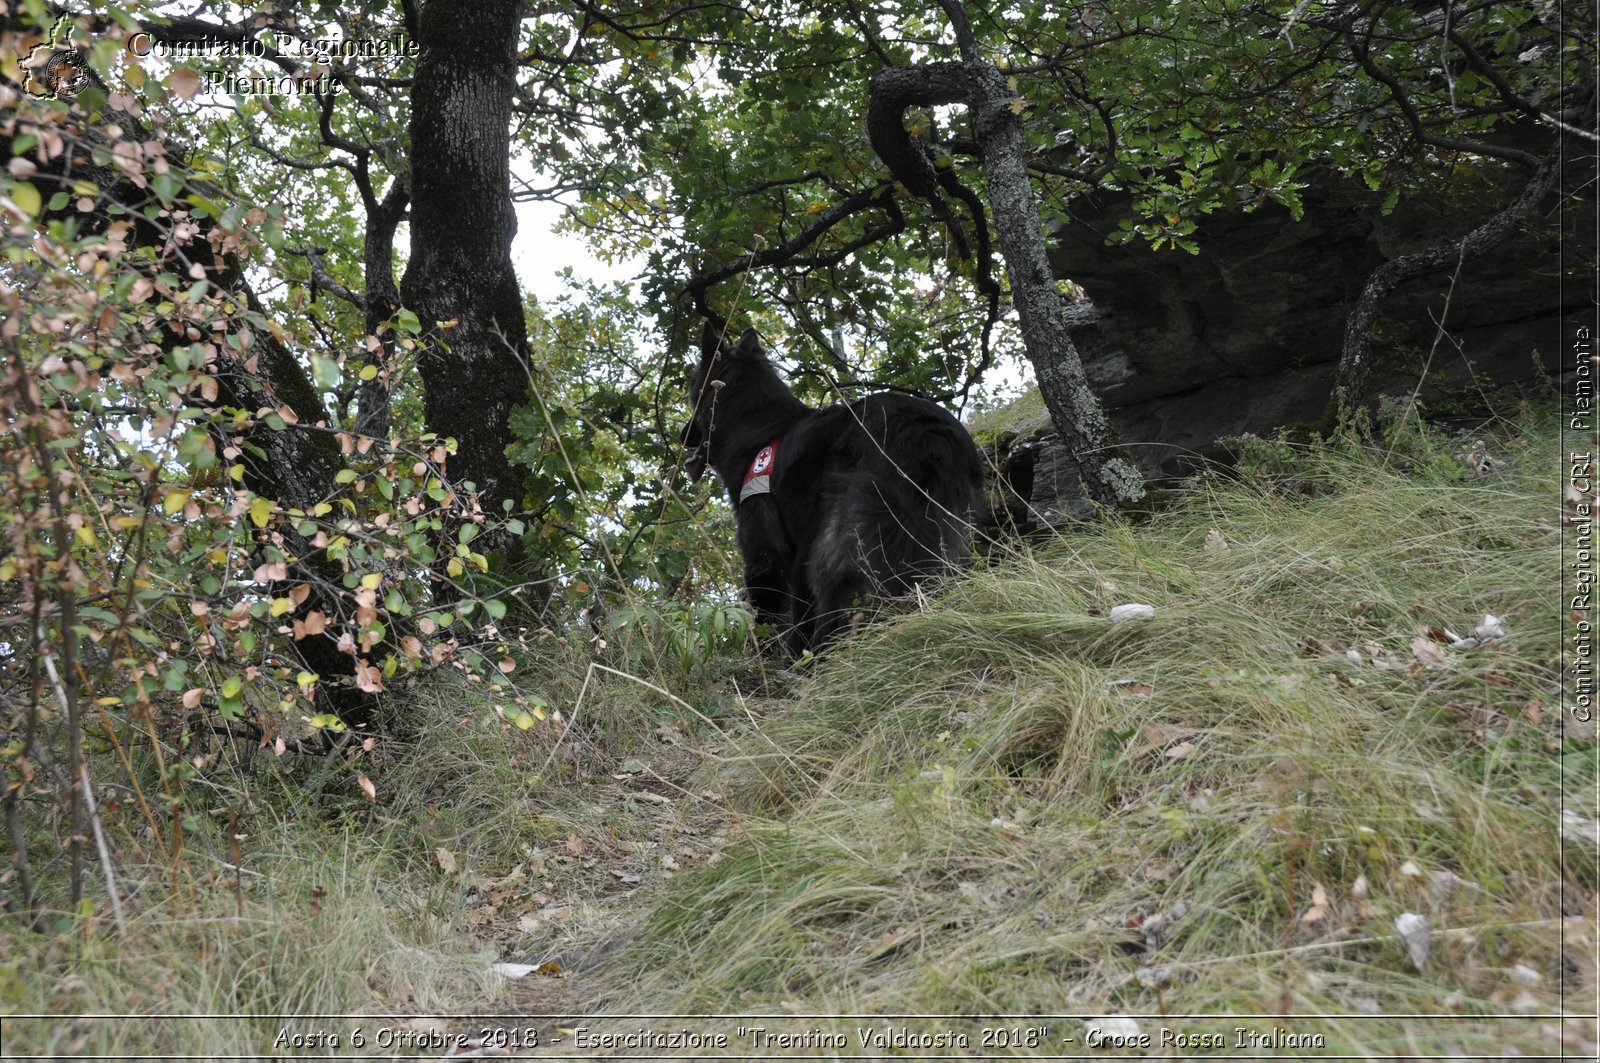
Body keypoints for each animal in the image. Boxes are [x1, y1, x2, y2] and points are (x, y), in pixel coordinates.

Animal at [681, 326, 979, 656]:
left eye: (694, 393)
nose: (683, 436)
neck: (758, 429)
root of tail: (928, 430)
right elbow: (800, 611)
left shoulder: (766, 551)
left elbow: (770, 613)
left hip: (838, 538)